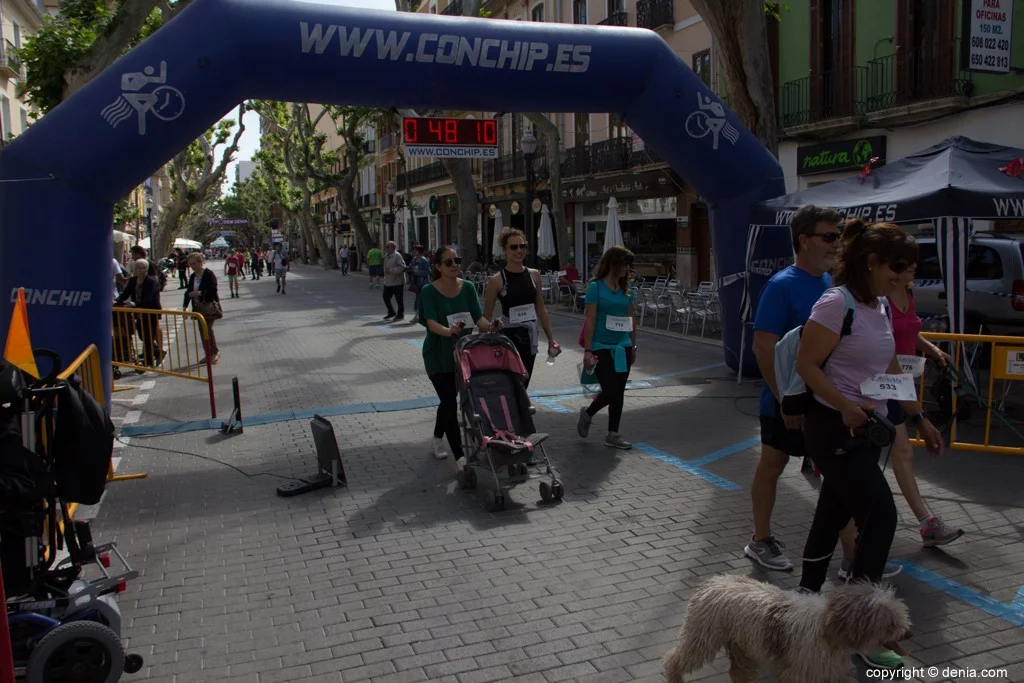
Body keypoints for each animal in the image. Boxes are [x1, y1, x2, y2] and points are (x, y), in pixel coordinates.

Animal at [663, 577, 913, 683]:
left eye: (901, 617)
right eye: (890, 623)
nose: (908, 634)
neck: (829, 629)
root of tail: (713, 582)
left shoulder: (830, 671)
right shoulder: (799, 672)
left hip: (743, 647)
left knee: (739, 673)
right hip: (702, 637)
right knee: (674, 658)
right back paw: (674, 675)